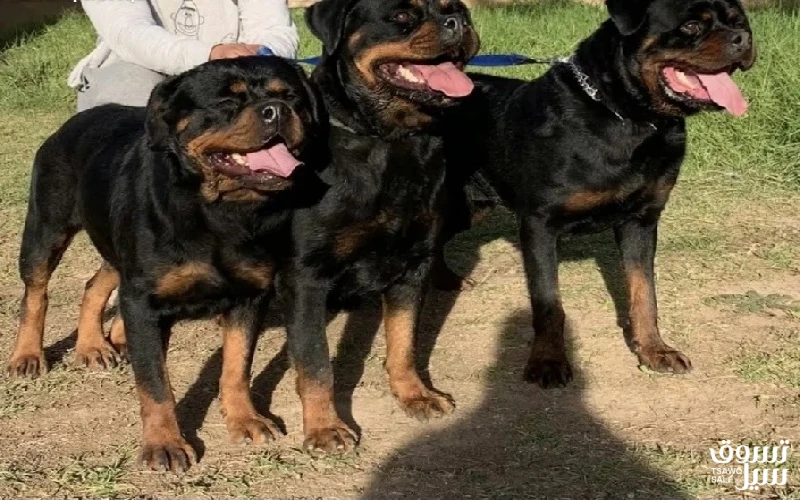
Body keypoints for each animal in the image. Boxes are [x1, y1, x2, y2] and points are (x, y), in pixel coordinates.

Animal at [6, 56, 326, 472]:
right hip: (47, 228)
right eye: (227, 101)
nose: (277, 110)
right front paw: (164, 444)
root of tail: (70, 123)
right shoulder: (143, 298)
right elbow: (156, 385)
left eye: (291, 96)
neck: (220, 214)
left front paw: (245, 419)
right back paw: (27, 355)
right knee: (35, 292)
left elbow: (236, 366)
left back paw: (94, 345)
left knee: (95, 284)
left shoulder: (249, 298)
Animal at [280, 0, 479, 453]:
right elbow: (315, 361)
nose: (458, 22)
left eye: (458, 8)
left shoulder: (412, 263)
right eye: (402, 16)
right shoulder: (307, 278)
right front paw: (324, 427)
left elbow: (404, 340)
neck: (392, 142)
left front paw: (416, 394)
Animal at [441, 0, 756, 387]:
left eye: (740, 22)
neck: (631, 119)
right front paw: (548, 361)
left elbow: (645, 294)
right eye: (692, 26)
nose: (743, 38)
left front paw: (654, 350)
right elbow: (549, 303)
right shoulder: (539, 223)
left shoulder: (641, 221)